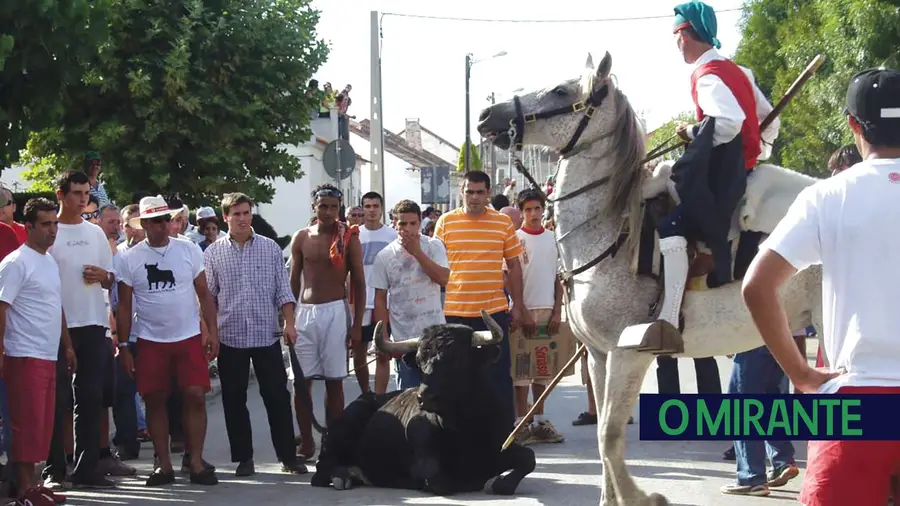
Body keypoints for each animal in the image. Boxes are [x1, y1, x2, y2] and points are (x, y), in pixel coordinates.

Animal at [310, 310, 536, 496]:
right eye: (419, 361)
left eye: (457, 359)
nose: (425, 397)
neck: (463, 428)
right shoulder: (426, 466)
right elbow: (442, 481)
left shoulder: (501, 444)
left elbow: (529, 458)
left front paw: (502, 482)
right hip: (342, 427)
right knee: (320, 471)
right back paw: (342, 476)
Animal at [478, 52, 824, 506]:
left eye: (561, 90)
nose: (487, 115)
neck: (609, 230)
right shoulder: (599, 355)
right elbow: (605, 438)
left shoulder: (628, 353)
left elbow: (609, 437)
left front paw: (642, 497)